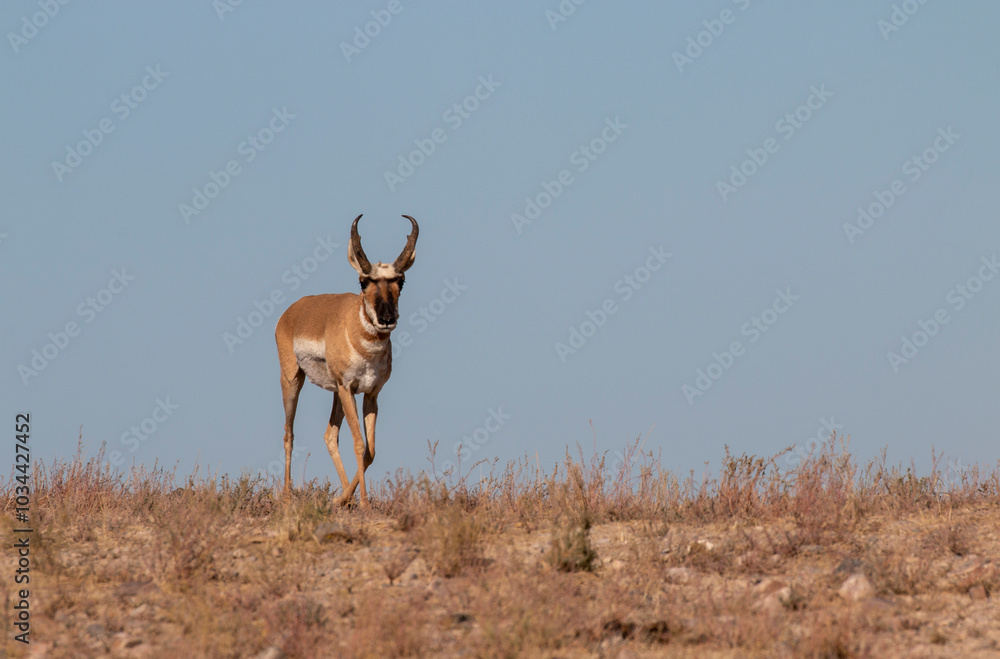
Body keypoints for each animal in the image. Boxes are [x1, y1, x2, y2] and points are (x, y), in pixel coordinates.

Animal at [275, 214, 418, 508]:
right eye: (363, 281)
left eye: (401, 281)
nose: (387, 319)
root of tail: (293, 310)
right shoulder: (348, 388)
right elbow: (359, 444)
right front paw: (363, 503)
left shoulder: (370, 394)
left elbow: (371, 451)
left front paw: (346, 500)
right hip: (294, 380)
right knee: (289, 433)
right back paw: (287, 495)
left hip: (336, 394)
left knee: (329, 435)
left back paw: (341, 497)